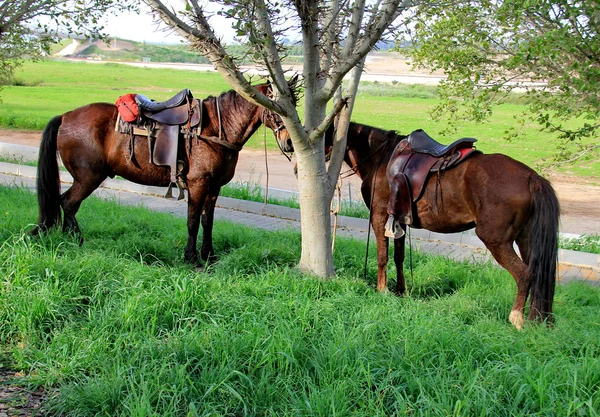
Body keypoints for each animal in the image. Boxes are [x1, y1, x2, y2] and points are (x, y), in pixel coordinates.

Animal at [34, 83, 292, 266]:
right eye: (276, 108)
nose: (290, 142)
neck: (214, 129)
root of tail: (65, 116)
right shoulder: (198, 185)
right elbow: (192, 221)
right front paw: (192, 258)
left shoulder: (214, 187)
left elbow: (207, 221)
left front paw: (209, 256)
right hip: (88, 177)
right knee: (69, 202)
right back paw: (78, 240)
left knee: (67, 203)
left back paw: (69, 238)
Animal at [328, 120, 556, 328]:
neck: (380, 159)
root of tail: (532, 177)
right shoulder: (400, 219)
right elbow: (399, 257)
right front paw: (401, 291)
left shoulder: (380, 214)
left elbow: (382, 256)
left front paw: (382, 290)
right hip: (526, 239)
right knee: (536, 273)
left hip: (496, 241)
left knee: (524, 274)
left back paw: (516, 318)